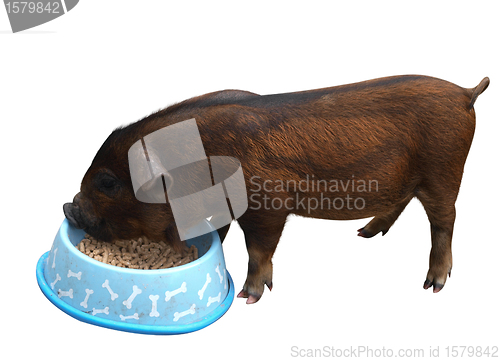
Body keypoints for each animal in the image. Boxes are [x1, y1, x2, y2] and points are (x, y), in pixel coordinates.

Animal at [63, 74, 488, 302]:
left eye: (108, 182)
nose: (69, 208)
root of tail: (465, 93)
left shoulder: (267, 203)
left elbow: (258, 248)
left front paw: (247, 297)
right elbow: (219, 234)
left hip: (444, 171)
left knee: (444, 221)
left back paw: (432, 286)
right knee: (403, 203)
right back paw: (364, 233)